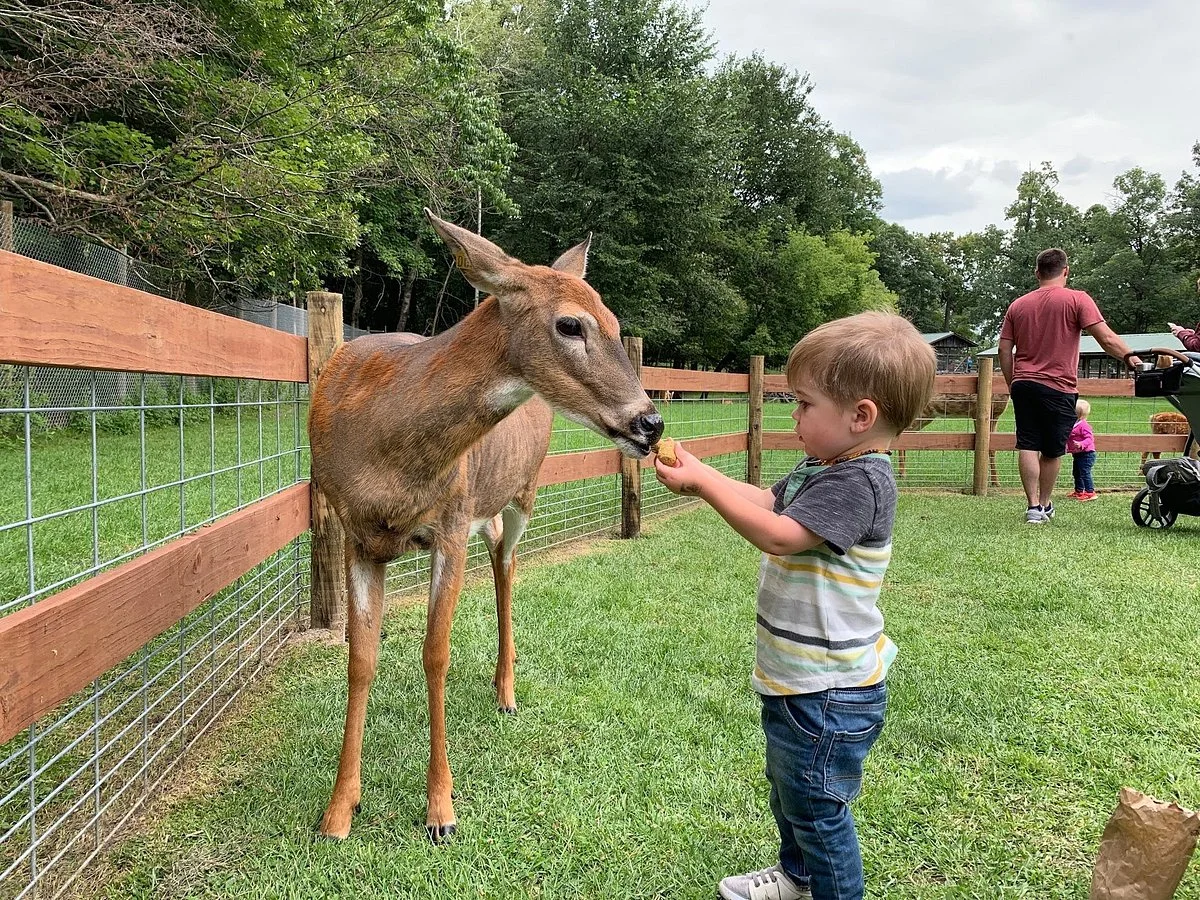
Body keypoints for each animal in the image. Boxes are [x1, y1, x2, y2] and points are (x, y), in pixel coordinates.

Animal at [307, 210, 663, 842]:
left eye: (617, 324)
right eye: (571, 324)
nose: (651, 422)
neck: (386, 454)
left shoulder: (449, 525)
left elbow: (435, 653)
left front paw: (440, 811)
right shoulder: (355, 532)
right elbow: (361, 657)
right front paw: (338, 811)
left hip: (525, 493)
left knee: (508, 567)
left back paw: (507, 690)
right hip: (488, 507)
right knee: (499, 552)